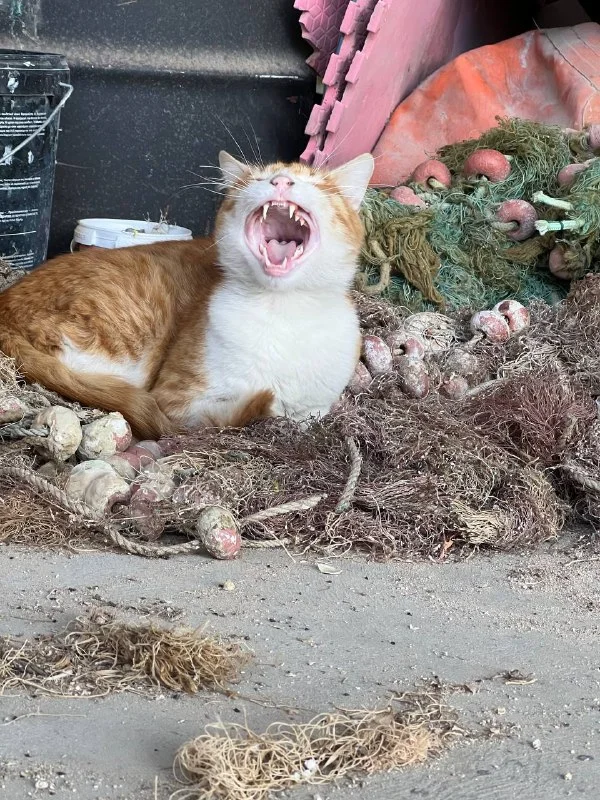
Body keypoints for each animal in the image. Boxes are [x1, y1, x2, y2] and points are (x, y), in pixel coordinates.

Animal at [0, 151, 374, 439]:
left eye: (318, 184)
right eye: (257, 179)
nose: (280, 181)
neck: (283, 312)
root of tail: (6, 301)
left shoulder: (317, 407)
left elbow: (304, 414)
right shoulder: (177, 402)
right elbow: (230, 414)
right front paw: (263, 405)